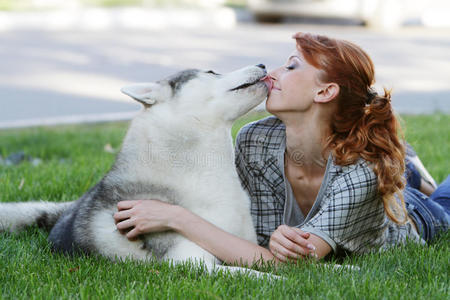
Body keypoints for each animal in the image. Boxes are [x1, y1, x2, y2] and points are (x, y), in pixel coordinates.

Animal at [0, 67, 270, 274]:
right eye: (211, 72)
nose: (262, 65)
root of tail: (68, 210)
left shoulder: (244, 244)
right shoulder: (190, 262)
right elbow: (249, 274)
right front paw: (275, 280)